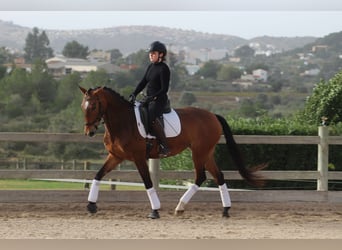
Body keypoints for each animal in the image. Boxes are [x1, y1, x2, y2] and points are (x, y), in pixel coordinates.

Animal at [79, 86, 264, 219]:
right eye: (83, 106)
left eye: (93, 106)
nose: (89, 132)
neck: (124, 122)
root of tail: (212, 115)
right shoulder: (116, 156)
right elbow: (98, 174)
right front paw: (91, 205)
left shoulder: (139, 158)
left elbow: (147, 182)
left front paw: (155, 211)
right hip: (207, 153)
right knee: (218, 176)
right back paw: (225, 209)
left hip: (198, 152)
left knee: (200, 176)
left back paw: (180, 206)